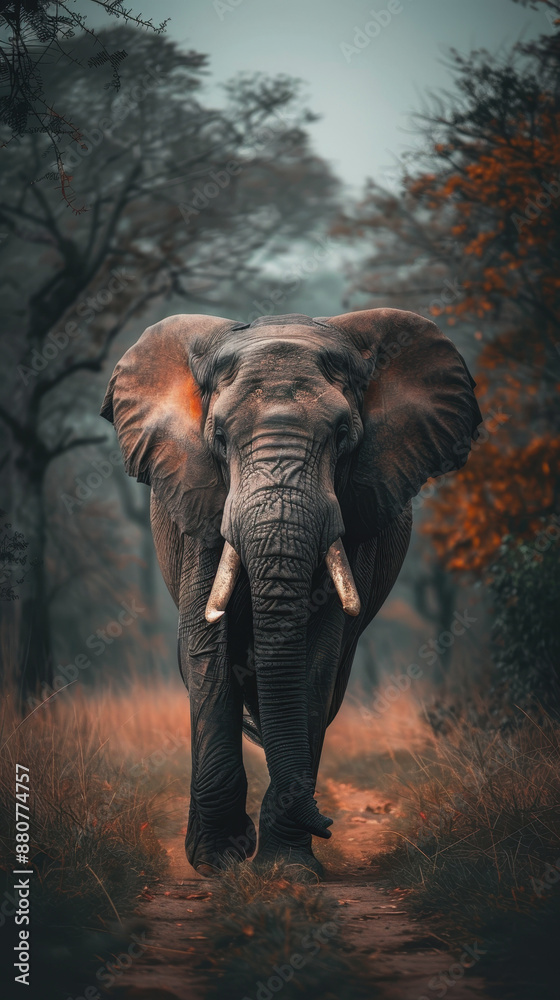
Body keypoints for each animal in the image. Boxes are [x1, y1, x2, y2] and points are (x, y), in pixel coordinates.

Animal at [101, 308, 482, 878]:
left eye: (344, 434)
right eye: (218, 436)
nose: (328, 823)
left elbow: (316, 658)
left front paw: (288, 870)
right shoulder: (199, 504)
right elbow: (208, 655)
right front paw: (219, 862)